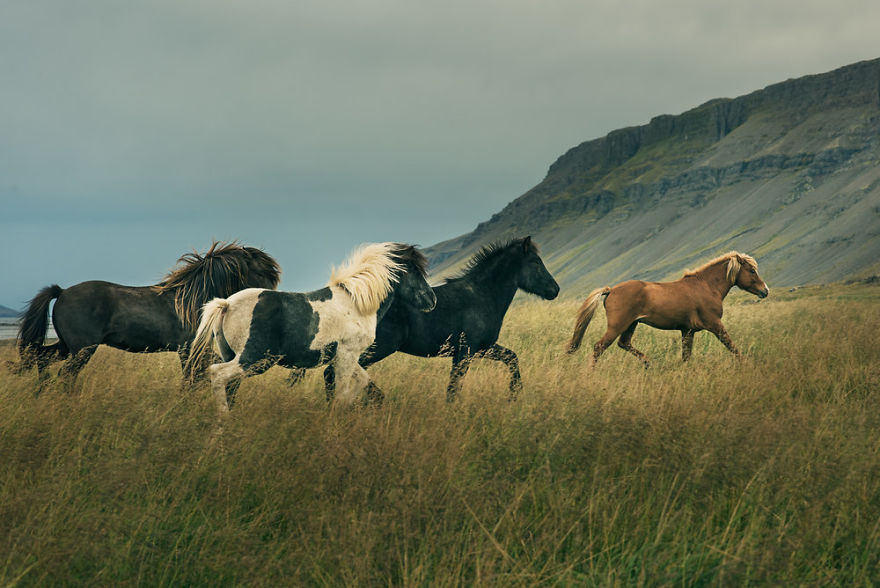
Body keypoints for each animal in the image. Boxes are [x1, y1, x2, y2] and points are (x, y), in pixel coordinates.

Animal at [16, 241, 281, 385]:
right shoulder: (187, 350)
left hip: (66, 346)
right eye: (262, 271)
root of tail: (61, 292)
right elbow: (190, 381)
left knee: (40, 358)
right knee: (65, 375)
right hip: (82, 349)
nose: (273, 297)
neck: (193, 301)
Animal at [185, 243, 437, 413]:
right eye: (415, 270)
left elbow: (361, 380)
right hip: (254, 359)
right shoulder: (347, 354)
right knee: (217, 374)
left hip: (235, 355)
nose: (431, 301)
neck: (356, 304)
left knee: (229, 386)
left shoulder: (345, 356)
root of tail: (226, 304)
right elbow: (342, 390)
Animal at [324, 236, 560, 402]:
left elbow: (512, 358)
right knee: (334, 371)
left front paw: (514, 394)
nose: (555, 290)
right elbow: (454, 388)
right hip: (378, 348)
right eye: (536, 262)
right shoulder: (465, 352)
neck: (483, 295)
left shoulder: (483, 348)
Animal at [565, 251, 769, 365]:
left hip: (631, 324)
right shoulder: (715, 324)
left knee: (624, 343)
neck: (707, 286)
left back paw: (648, 363)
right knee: (599, 347)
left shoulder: (687, 331)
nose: (765, 291)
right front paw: (745, 364)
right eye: (752, 271)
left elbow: (686, 356)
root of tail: (611, 290)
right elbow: (732, 346)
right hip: (617, 326)